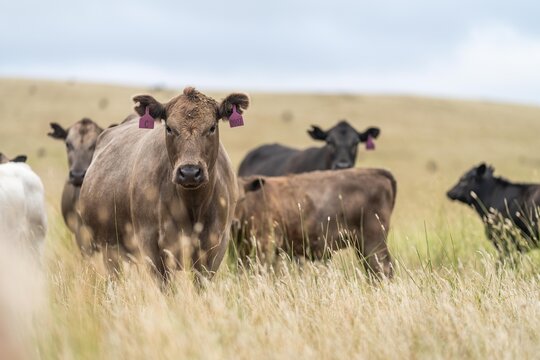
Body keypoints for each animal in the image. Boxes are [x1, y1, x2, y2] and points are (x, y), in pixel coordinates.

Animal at [79, 88, 249, 282]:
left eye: (212, 127)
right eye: (169, 128)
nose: (189, 171)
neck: (193, 205)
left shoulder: (214, 248)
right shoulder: (152, 248)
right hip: (109, 250)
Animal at [234, 167, 394, 278]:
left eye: (242, 199)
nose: (233, 221)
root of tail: (375, 172)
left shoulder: (265, 245)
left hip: (373, 244)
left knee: (383, 269)